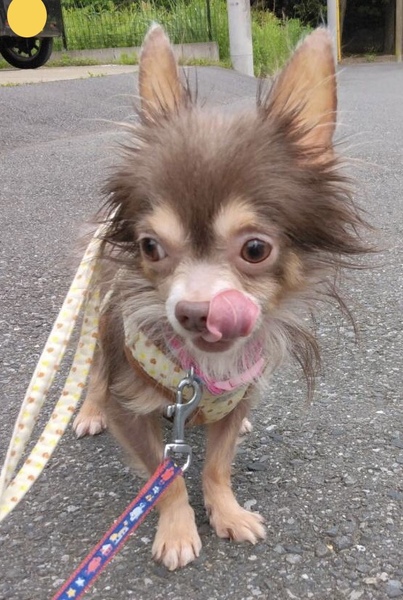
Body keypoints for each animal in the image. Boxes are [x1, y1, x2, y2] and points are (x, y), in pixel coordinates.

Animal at [73, 25, 368, 570]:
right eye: (150, 247)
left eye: (255, 249)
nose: (193, 313)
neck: (201, 375)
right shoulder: (131, 409)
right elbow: (164, 478)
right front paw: (177, 529)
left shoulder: (236, 394)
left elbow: (216, 465)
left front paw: (227, 512)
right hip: (101, 323)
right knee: (95, 372)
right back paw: (88, 411)